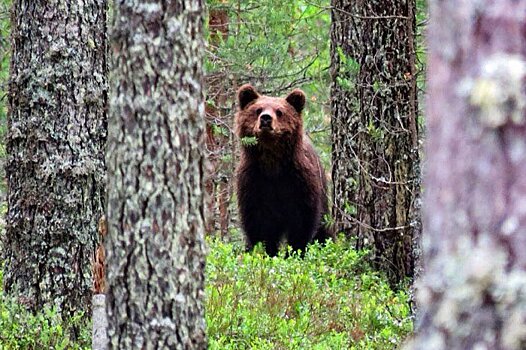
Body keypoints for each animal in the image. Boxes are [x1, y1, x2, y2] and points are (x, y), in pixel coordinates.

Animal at [234, 83, 330, 256]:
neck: (272, 164)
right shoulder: (253, 182)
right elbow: (258, 225)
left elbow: (303, 223)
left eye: (279, 111)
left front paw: (295, 252)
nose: (266, 118)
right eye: (258, 109)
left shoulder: (299, 183)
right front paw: (267, 252)